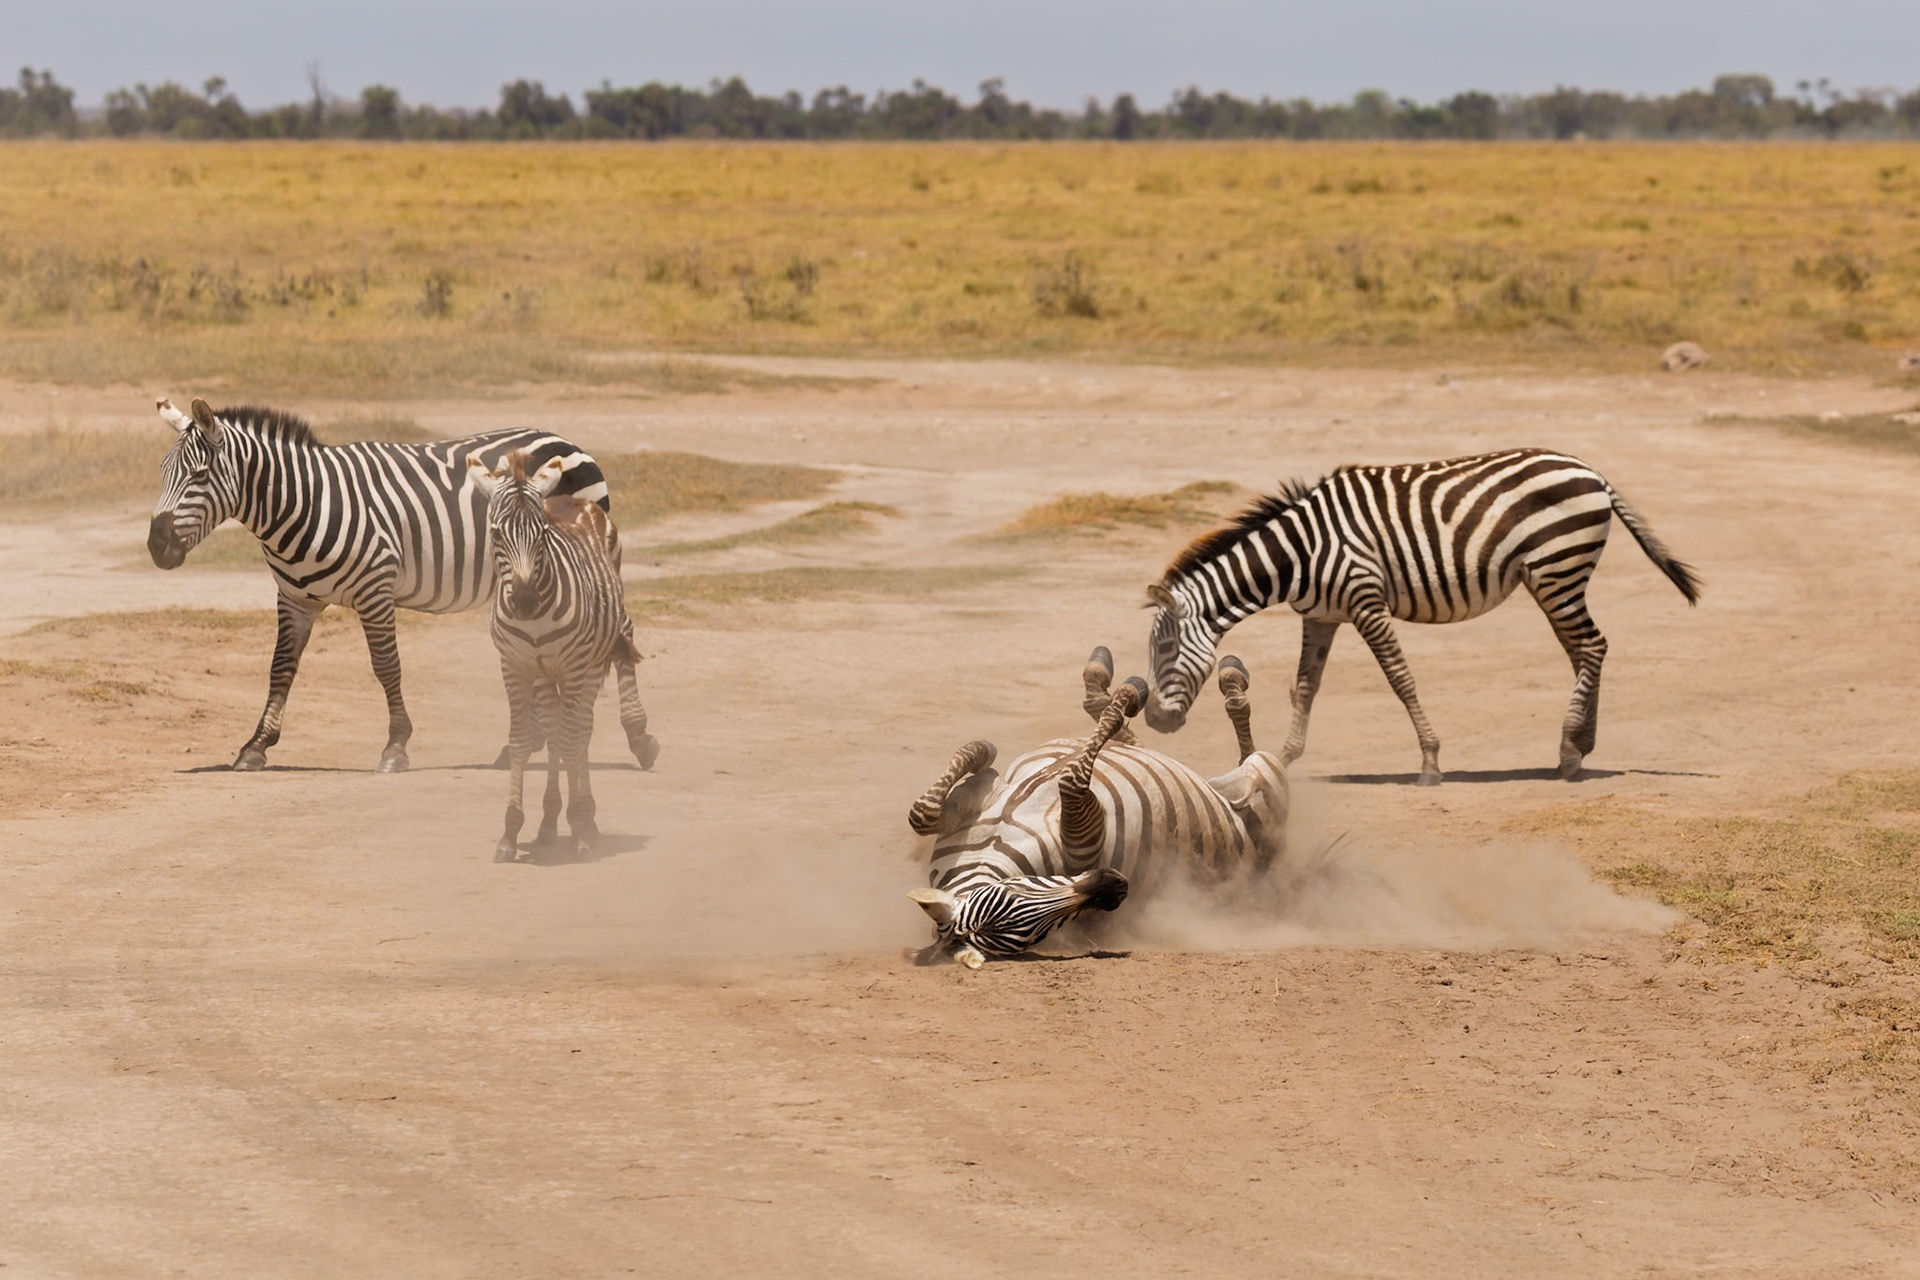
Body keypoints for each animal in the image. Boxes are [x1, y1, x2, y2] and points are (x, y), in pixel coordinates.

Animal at [147, 396, 656, 773]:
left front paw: (396, 746)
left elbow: (386, 667)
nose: (156, 545)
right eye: (162, 473)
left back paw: (639, 740)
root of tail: (565, 439)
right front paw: (256, 745)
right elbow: (280, 669)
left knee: (622, 632)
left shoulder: (376, 588)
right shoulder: (294, 599)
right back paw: (523, 747)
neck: (304, 503)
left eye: (199, 476)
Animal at [471, 450, 653, 861]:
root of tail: (571, 499)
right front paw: (512, 831)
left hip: (594, 653)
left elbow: (572, 740)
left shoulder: (573, 666)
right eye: (496, 533)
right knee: (558, 730)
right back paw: (550, 822)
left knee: (581, 727)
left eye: (542, 534)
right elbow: (524, 741)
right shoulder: (516, 666)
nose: (524, 601)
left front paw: (582, 826)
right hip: (548, 674)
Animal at [907, 646, 1288, 967]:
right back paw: (1225, 683)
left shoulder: (975, 801)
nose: (1114, 885)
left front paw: (985, 749)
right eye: (1041, 934)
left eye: (1011, 890)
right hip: (1266, 786)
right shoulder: (1083, 836)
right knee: (1251, 752)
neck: (993, 846)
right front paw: (1129, 695)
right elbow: (1071, 780)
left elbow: (923, 811)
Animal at [1142, 448, 1702, 786]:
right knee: (1582, 650)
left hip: (1557, 567)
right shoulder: (1321, 617)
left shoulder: (1366, 601)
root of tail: (1592, 472)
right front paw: (1283, 758)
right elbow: (1304, 686)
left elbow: (1400, 678)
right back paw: (1581, 746)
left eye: (1165, 648)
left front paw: (1430, 761)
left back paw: (1568, 751)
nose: (1153, 721)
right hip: (1552, 576)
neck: (1299, 555)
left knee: (1592, 646)